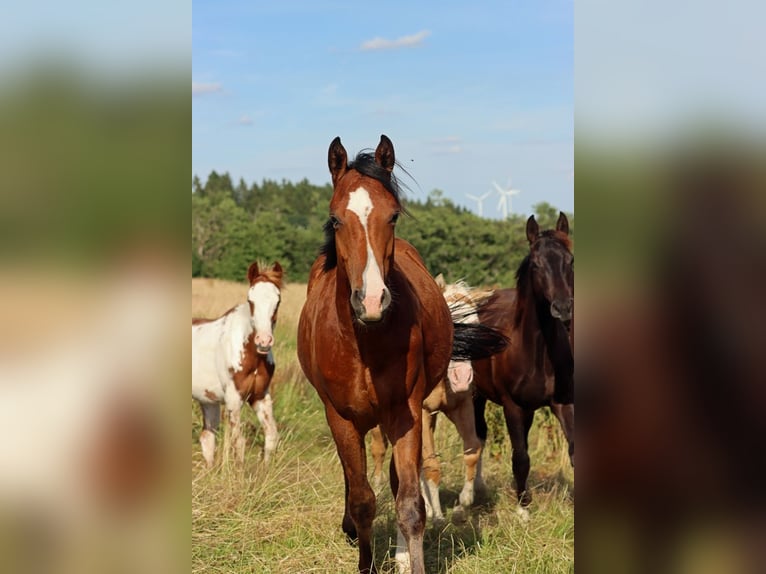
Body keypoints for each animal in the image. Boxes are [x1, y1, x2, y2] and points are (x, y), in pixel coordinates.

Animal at [192, 261, 283, 467]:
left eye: (278, 301)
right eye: (251, 300)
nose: (263, 341)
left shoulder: (260, 397)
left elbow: (271, 436)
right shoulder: (234, 398)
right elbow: (238, 442)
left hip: (207, 399)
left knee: (207, 438)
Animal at [370, 276, 495, 523]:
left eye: (476, 327)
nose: (462, 378)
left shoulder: (462, 406)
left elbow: (472, 449)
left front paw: (463, 503)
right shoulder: (423, 412)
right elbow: (430, 463)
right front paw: (436, 515)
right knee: (379, 449)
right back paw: (379, 490)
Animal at [472, 213, 574, 515]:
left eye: (570, 260)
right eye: (537, 264)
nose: (563, 308)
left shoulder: (563, 403)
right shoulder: (512, 406)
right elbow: (520, 457)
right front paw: (523, 509)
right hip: (476, 395)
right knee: (478, 436)